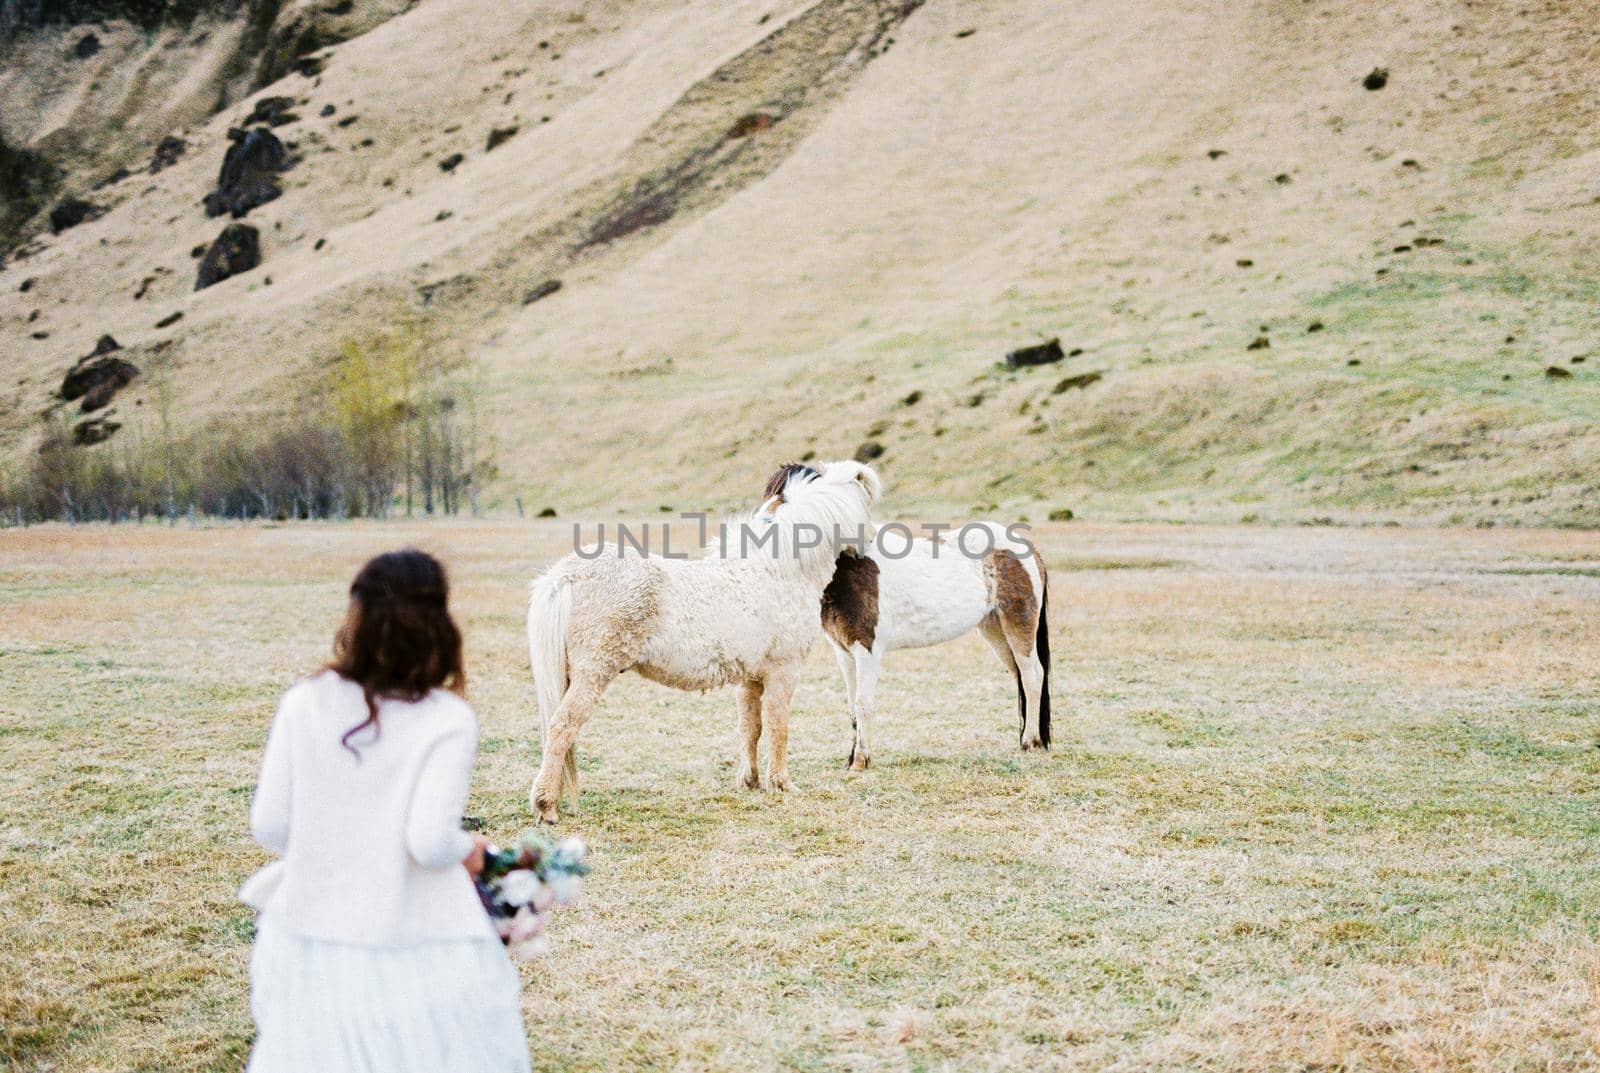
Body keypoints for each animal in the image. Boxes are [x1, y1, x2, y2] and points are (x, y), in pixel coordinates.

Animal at [524, 460, 883, 825]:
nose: (869, 545)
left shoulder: (751, 678)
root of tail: (567, 574)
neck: (779, 570)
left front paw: (751, 781)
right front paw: (782, 784)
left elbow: (751, 728)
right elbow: (779, 727)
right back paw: (546, 806)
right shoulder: (783, 673)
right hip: (592, 675)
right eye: (865, 505)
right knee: (562, 728)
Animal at [758, 460, 1049, 773]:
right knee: (1019, 675)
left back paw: (1031, 742)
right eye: (773, 493)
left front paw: (860, 762)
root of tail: (1026, 548)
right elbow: (851, 706)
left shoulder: (867, 650)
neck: (852, 568)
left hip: (1019, 624)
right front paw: (850, 758)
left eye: (793, 498)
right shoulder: (843, 653)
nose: (761, 524)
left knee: (1033, 675)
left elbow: (863, 703)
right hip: (994, 629)